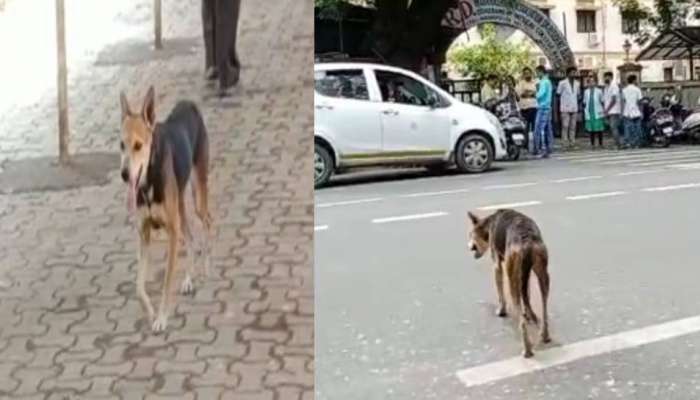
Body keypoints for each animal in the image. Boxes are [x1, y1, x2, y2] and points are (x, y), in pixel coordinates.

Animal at [119, 87, 211, 334]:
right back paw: (188, 280)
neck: (148, 181)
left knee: (208, 222)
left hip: (198, 193)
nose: (124, 174)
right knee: (191, 237)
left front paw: (161, 317)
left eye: (138, 145)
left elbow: (167, 282)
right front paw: (150, 312)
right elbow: (138, 287)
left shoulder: (171, 233)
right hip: (180, 204)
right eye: (121, 145)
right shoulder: (144, 234)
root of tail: (188, 103)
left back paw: (207, 264)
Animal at [468, 208, 548, 358]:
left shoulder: (497, 266)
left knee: (521, 322)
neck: (489, 223)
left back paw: (527, 350)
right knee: (544, 310)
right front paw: (528, 312)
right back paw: (545, 335)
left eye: (470, 234)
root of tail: (526, 240)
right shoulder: (524, 274)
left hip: (512, 279)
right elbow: (526, 294)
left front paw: (501, 311)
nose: (469, 247)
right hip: (542, 273)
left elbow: (500, 294)